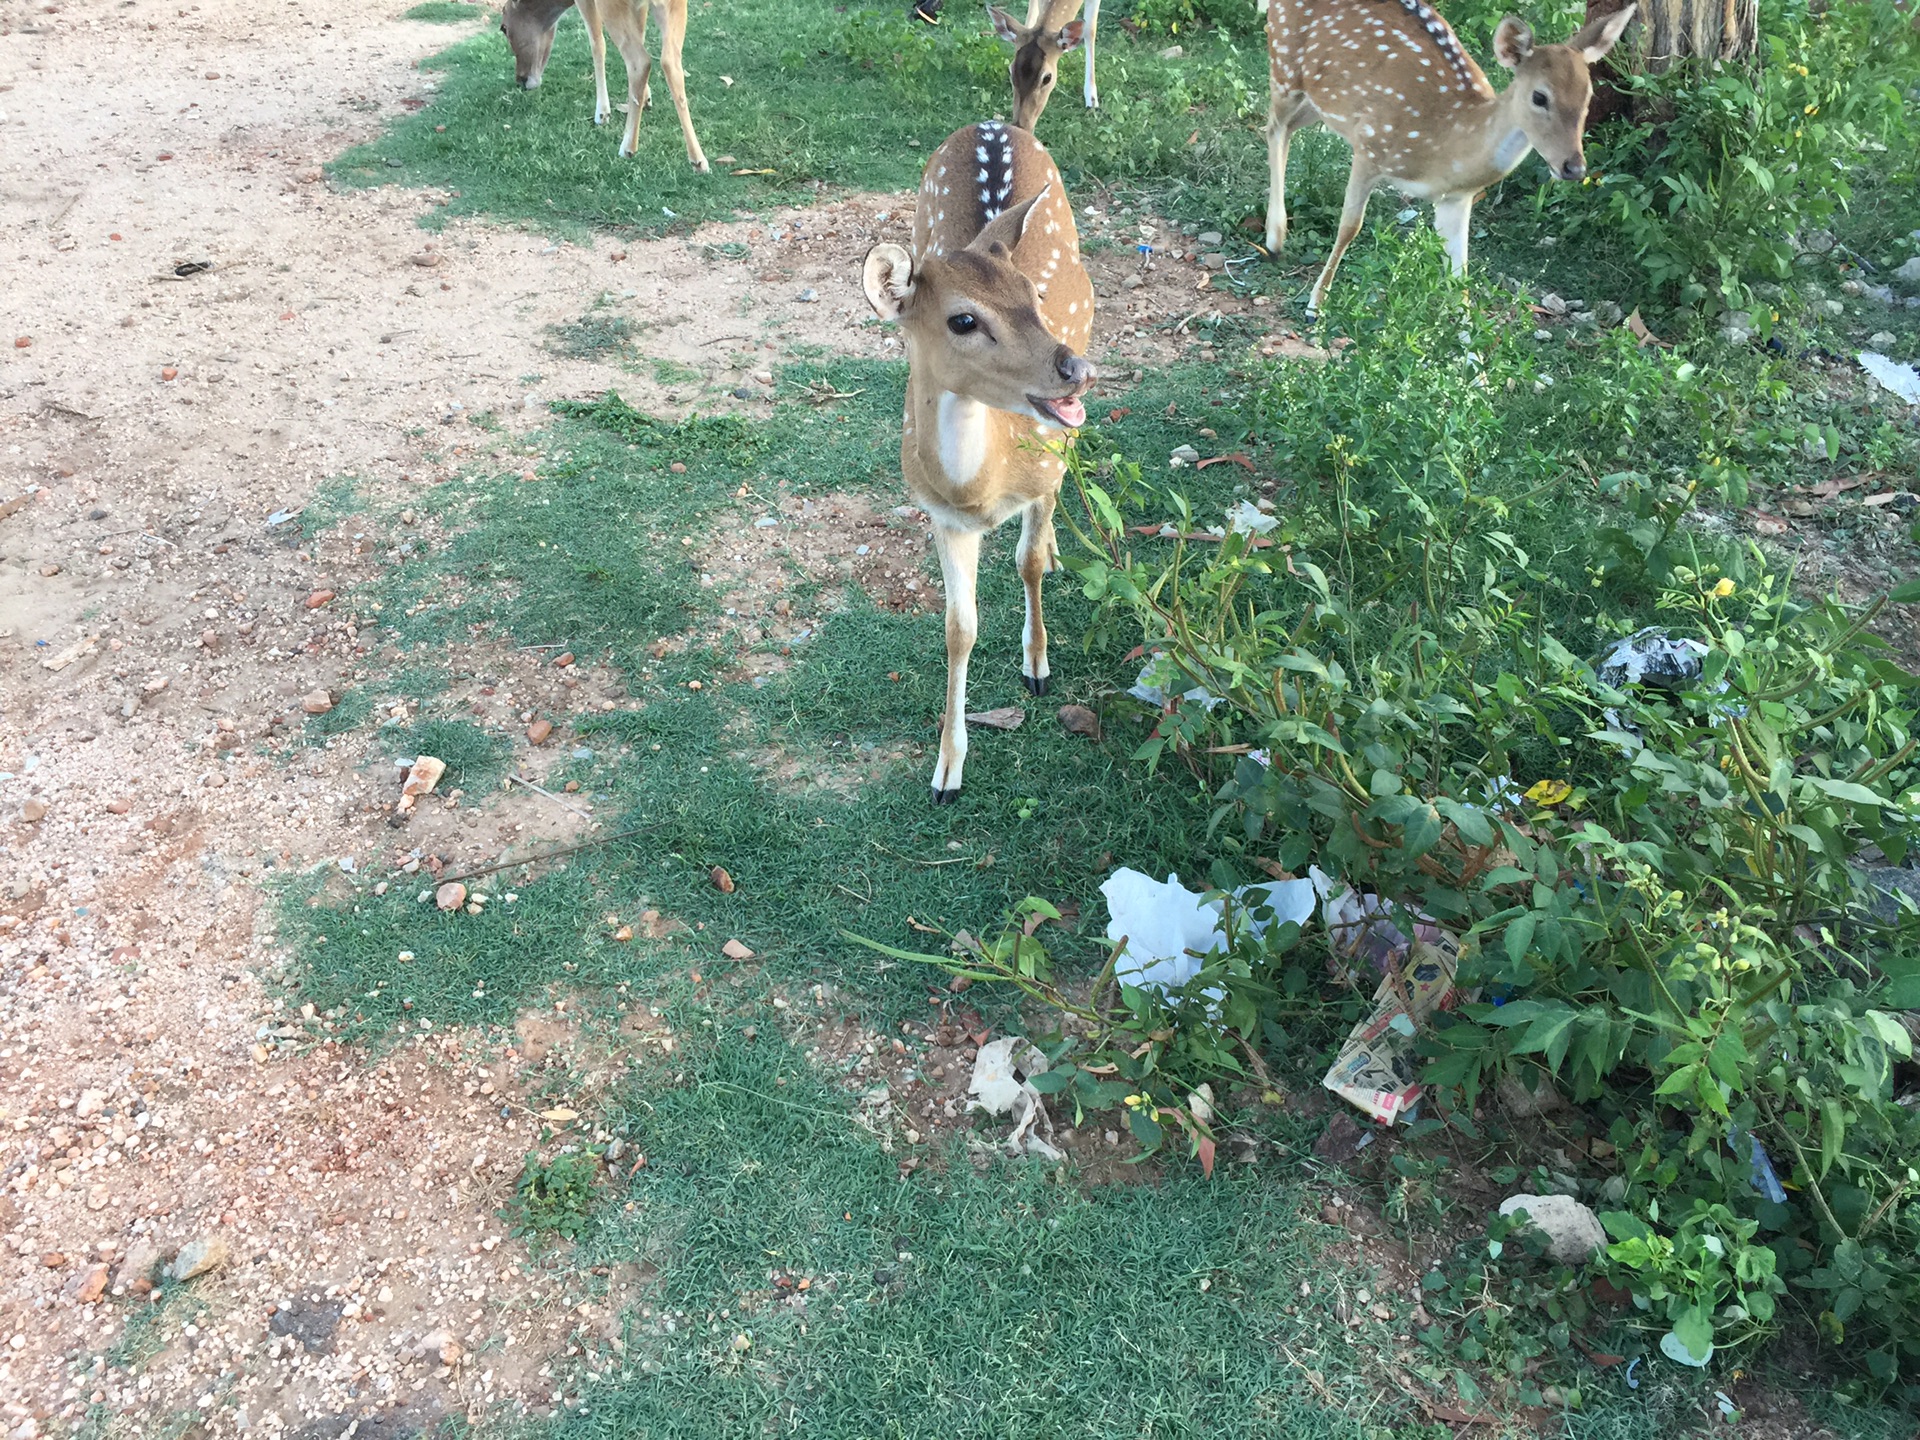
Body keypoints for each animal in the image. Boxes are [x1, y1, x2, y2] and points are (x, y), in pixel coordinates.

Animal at [499, 0, 710, 171]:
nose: (521, 79)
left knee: (640, 61)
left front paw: (602, 113)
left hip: (611, 6)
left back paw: (628, 148)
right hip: (675, 6)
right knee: (670, 61)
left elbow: (597, 43)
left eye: (503, 28)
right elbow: (641, 33)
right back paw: (699, 160)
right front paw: (646, 97)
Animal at [860, 120, 1098, 806]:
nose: (1076, 370)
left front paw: (1037, 667)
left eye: (1034, 295)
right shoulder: (939, 513)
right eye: (963, 319)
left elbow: (1027, 562)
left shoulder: (1044, 468)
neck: (980, 489)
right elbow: (957, 629)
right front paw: (946, 772)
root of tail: (998, 123)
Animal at [1259, 0, 1635, 314]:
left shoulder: (1455, 197)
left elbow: (1460, 270)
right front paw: (1315, 305)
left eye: (1589, 94)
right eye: (1539, 97)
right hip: (1284, 67)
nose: (1573, 166)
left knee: (1286, 128)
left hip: (1318, 102)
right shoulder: (1369, 146)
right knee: (1273, 126)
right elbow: (1349, 226)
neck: (1444, 145)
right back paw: (1274, 239)